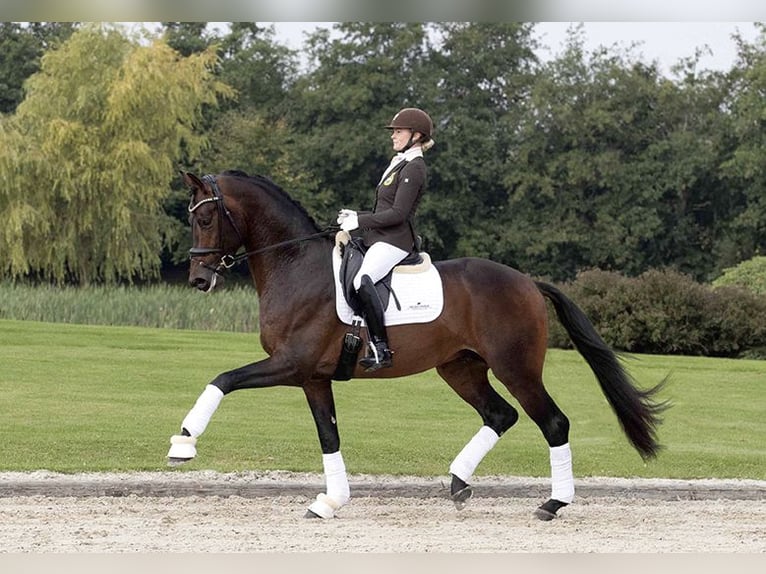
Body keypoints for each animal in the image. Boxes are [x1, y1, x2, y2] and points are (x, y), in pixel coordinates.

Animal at [170, 170, 672, 520]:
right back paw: (458, 483)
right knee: (500, 415)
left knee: (553, 422)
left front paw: (184, 443)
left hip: (516, 367)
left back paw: (553, 504)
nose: (198, 280)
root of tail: (528, 282)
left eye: (205, 217)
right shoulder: (312, 377)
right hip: (460, 367)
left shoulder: (289, 364)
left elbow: (223, 379)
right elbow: (329, 436)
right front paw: (330, 502)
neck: (295, 266)